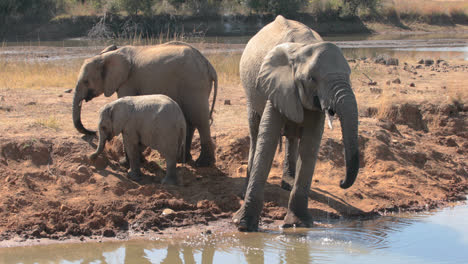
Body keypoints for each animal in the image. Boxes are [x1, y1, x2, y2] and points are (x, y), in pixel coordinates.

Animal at [72, 40, 218, 167]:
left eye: (86, 81)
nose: (92, 132)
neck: (106, 56)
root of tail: (209, 65)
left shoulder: (127, 82)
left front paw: (125, 164)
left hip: (194, 83)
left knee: (199, 120)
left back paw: (203, 163)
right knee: (190, 120)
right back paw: (183, 160)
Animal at [232, 16, 360, 231]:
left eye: (349, 75)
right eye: (312, 78)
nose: (342, 182)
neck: (304, 47)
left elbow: (310, 145)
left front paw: (297, 224)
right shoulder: (275, 84)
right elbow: (267, 140)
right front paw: (243, 225)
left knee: (293, 136)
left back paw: (288, 183)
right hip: (249, 90)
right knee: (255, 132)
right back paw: (244, 191)